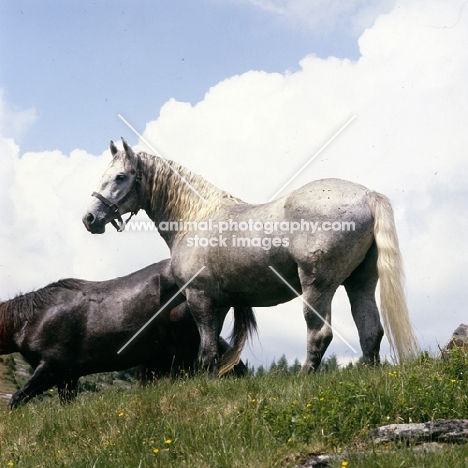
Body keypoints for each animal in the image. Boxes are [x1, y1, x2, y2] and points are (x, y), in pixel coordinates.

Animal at [83, 140, 416, 376]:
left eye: (120, 176)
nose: (90, 219)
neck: (195, 217)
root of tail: (367, 196)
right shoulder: (219, 304)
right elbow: (212, 350)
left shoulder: (199, 298)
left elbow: (207, 350)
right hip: (359, 283)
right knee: (370, 330)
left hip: (317, 286)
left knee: (319, 332)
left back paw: (304, 376)